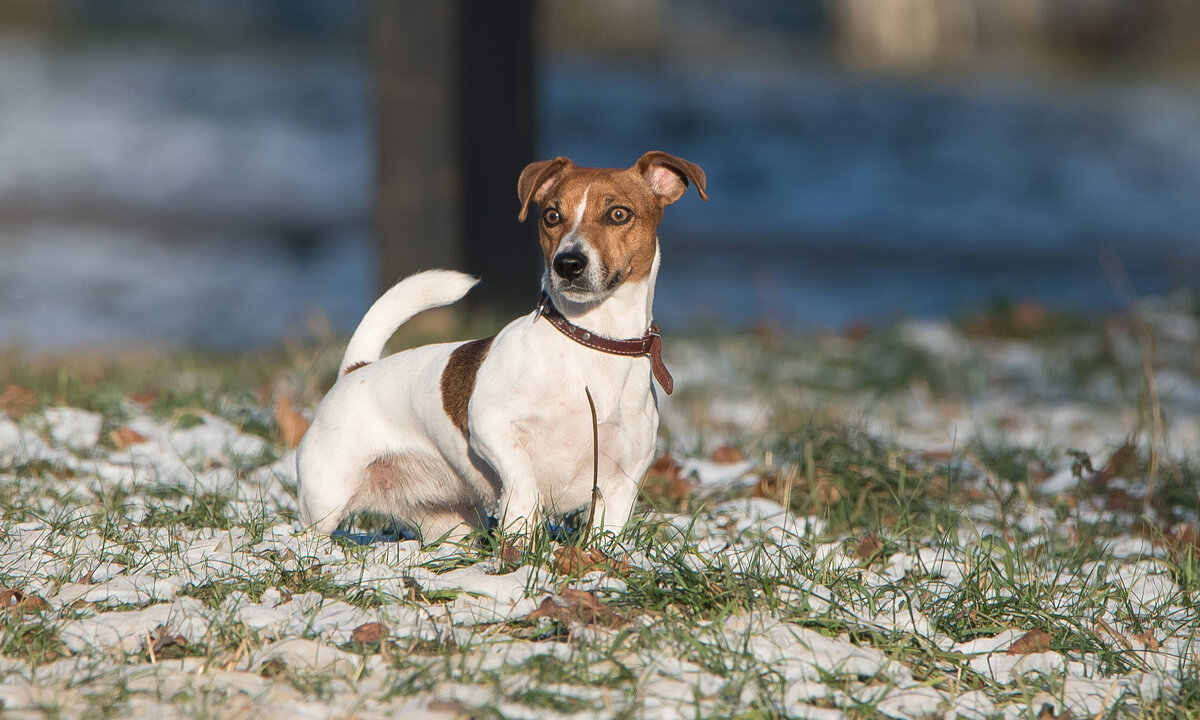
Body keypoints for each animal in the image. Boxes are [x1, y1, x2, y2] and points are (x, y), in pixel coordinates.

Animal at [297, 153, 700, 544]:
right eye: (552, 216)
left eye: (618, 214)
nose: (568, 263)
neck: (593, 340)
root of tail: (357, 370)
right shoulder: (490, 425)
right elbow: (522, 476)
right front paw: (520, 524)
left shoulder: (622, 482)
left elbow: (605, 537)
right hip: (326, 497)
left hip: (450, 522)